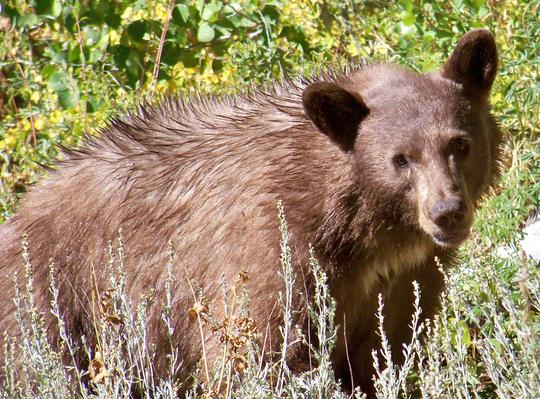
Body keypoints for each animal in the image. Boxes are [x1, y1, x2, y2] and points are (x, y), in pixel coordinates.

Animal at [0, 28, 502, 396]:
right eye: (401, 159)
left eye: (459, 143)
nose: (447, 212)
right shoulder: (268, 251)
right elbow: (260, 352)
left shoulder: (407, 278)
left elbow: (387, 351)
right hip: (56, 305)